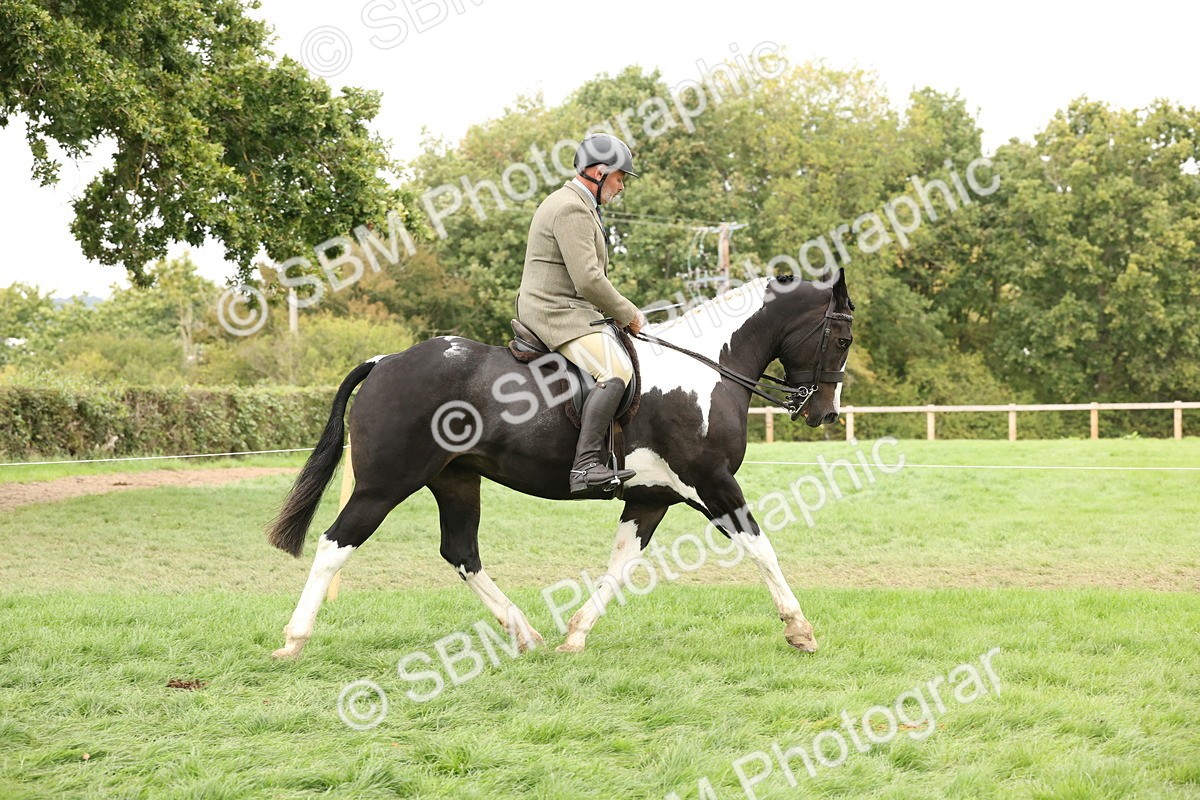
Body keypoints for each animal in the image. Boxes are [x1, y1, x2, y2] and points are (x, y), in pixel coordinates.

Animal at [267, 270, 854, 658]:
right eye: (843, 338)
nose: (824, 412)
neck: (705, 372)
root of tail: (385, 361)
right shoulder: (711, 483)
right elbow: (762, 548)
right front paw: (800, 629)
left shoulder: (650, 497)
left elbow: (620, 566)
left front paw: (575, 634)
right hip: (384, 485)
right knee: (334, 546)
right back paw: (293, 641)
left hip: (455, 481)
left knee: (461, 553)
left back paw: (523, 632)